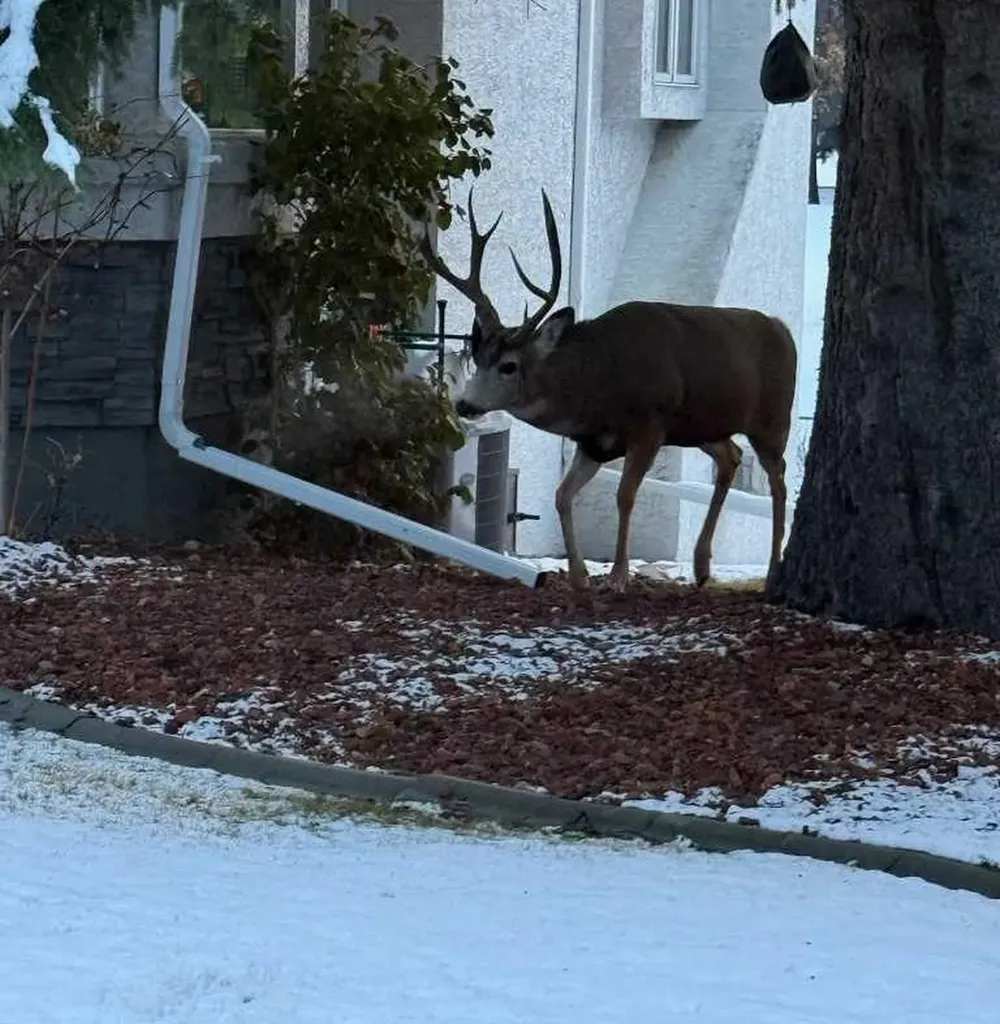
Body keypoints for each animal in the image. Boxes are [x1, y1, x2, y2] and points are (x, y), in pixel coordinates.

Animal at [421, 189, 797, 595]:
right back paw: (701, 566)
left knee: (779, 480)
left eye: (509, 365)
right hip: (701, 427)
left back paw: (772, 570)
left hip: (773, 418)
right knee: (731, 456)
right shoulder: (593, 443)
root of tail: (782, 328)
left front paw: (617, 576)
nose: (465, 403)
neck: (599, 386)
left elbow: (625, 495)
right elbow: (561, 496)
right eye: (476, 358)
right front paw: (579, 575)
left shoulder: (650, 426)